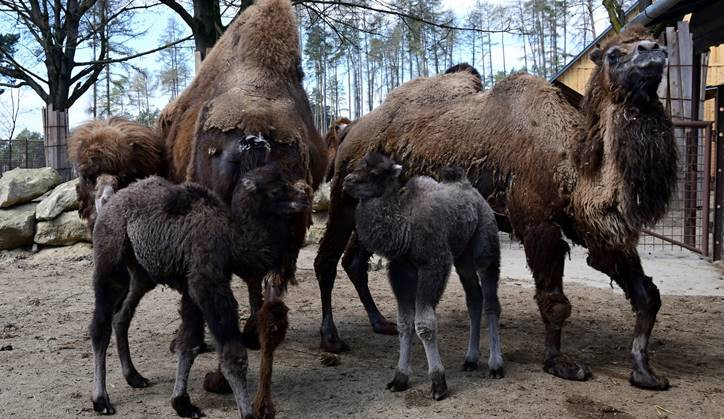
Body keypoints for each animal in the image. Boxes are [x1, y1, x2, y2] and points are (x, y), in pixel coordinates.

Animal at [314, 25, 676, 394]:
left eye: (649, 40)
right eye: (614, 54)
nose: (653, 50)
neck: (570, 165)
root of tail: (348, 130)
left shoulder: (595, 229)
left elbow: (647, 295)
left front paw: (644, 371)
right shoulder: (538, 225)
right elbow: (555, 302)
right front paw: (559, 363)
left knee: (354, 262)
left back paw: (380, 322)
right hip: (344, 199)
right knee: (325, 261)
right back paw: (331, 338)